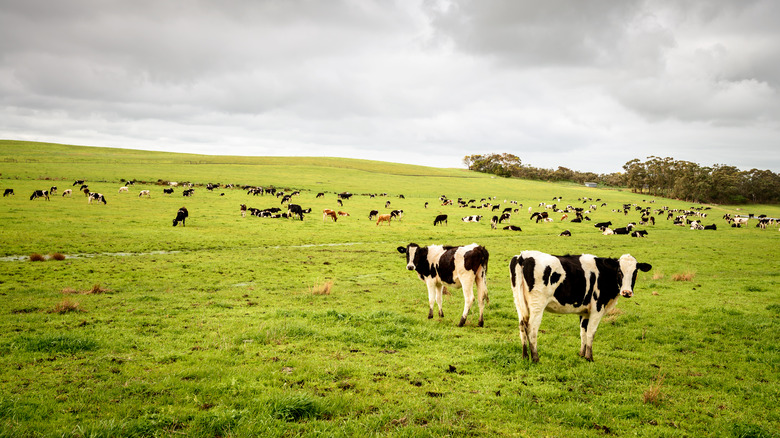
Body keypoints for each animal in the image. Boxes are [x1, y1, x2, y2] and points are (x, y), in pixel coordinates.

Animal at [512, 252, 652, 362]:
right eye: (619, 271)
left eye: (635, 272)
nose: (627, 292)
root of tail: (523, 256)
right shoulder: (597, 308)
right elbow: (591, 332)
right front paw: (589, 357)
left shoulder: (585, 312)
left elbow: (583, 332)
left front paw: (582, 354)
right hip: (537, 305)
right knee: (532, 328)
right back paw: (535, 358)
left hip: (519, 302)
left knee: (522, 326)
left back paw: (525, 356)